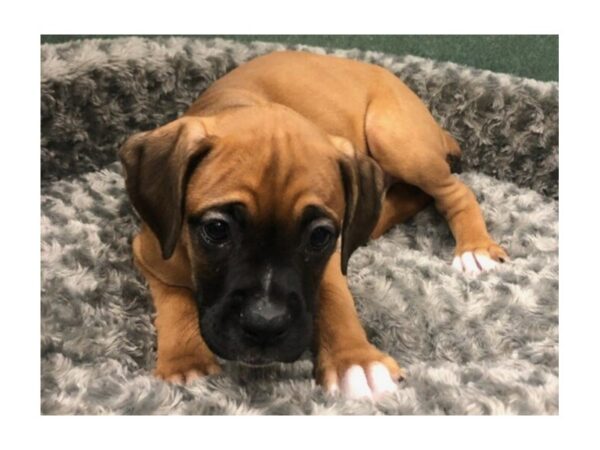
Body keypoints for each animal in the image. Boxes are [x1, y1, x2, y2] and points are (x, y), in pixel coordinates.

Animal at [119, 51, 508, 400]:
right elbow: (175, 298)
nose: (265, 325)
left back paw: (475, 248)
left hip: (395, 138)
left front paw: (356, 361)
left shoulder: (332, 254)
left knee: (453, 191)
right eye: (216, 230)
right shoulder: (153, 250)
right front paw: (187, 362)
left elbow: (335, 298)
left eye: (319, 236)